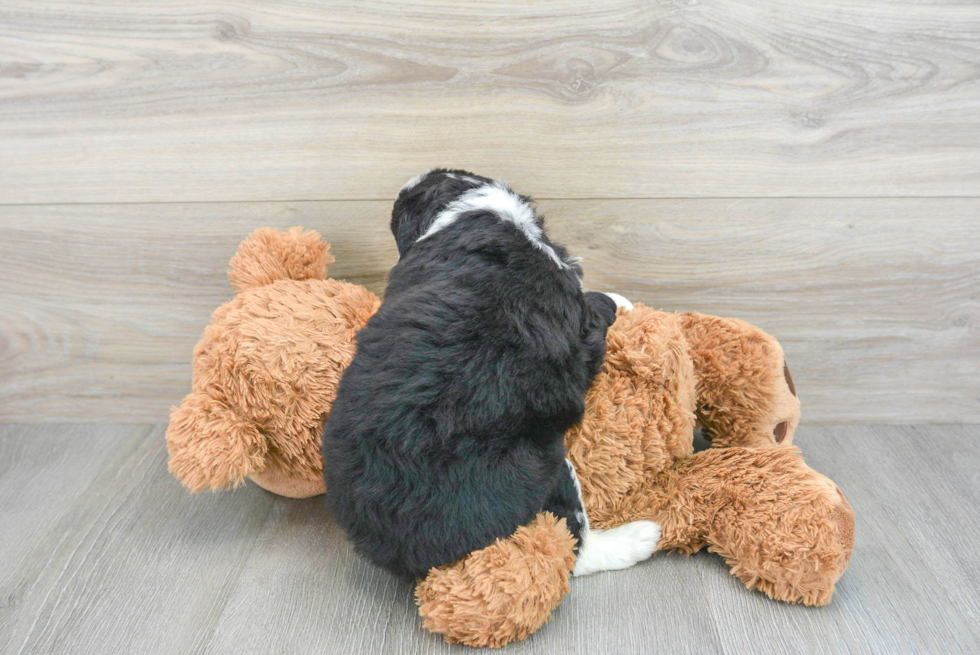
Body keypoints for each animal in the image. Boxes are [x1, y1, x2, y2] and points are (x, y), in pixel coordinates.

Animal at [324, 170, 660, 584]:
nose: (409, 183)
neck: (477, 208)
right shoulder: (578, 324)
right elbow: (595, 306)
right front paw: (620, 301)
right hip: (545, 467)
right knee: (572, 543)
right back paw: (638, 538)